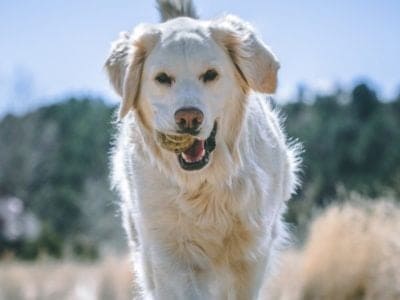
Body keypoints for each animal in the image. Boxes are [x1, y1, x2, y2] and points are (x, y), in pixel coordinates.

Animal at [104, 0, 298, 298]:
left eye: (210, 75)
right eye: (162, 78)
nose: (188, 118)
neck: (204, 184)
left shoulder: (251, 254)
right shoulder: (170, 255)